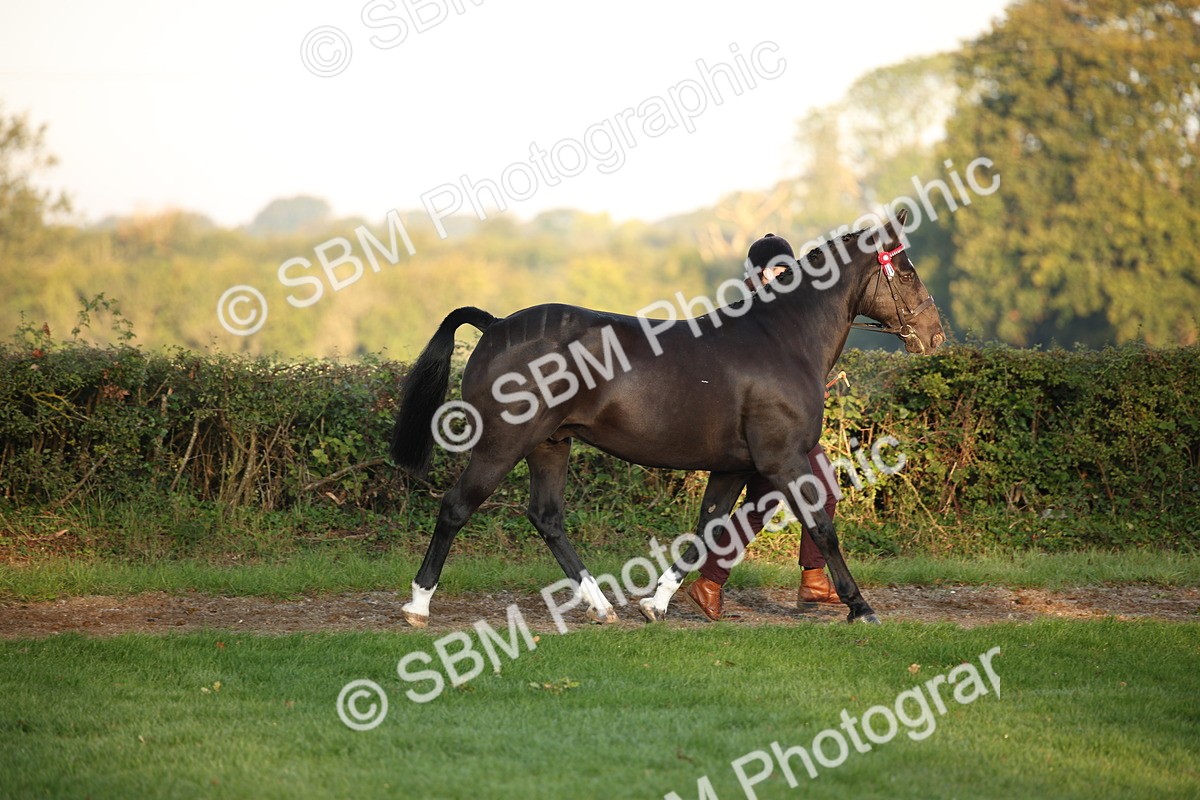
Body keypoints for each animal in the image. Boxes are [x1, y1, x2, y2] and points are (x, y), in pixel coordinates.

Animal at [390, 210, 944, 627]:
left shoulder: (733, 466)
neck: (783, 338)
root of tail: (497, 324)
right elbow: (822, 526)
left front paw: (657, 602)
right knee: (456, 507)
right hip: (502, 444)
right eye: (907, 272)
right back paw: (418, 604)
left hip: (551, 444)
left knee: (547, 518)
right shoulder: (784, 460)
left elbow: (708, 528)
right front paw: (860, 607)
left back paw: (602, 606)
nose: (935, 335)